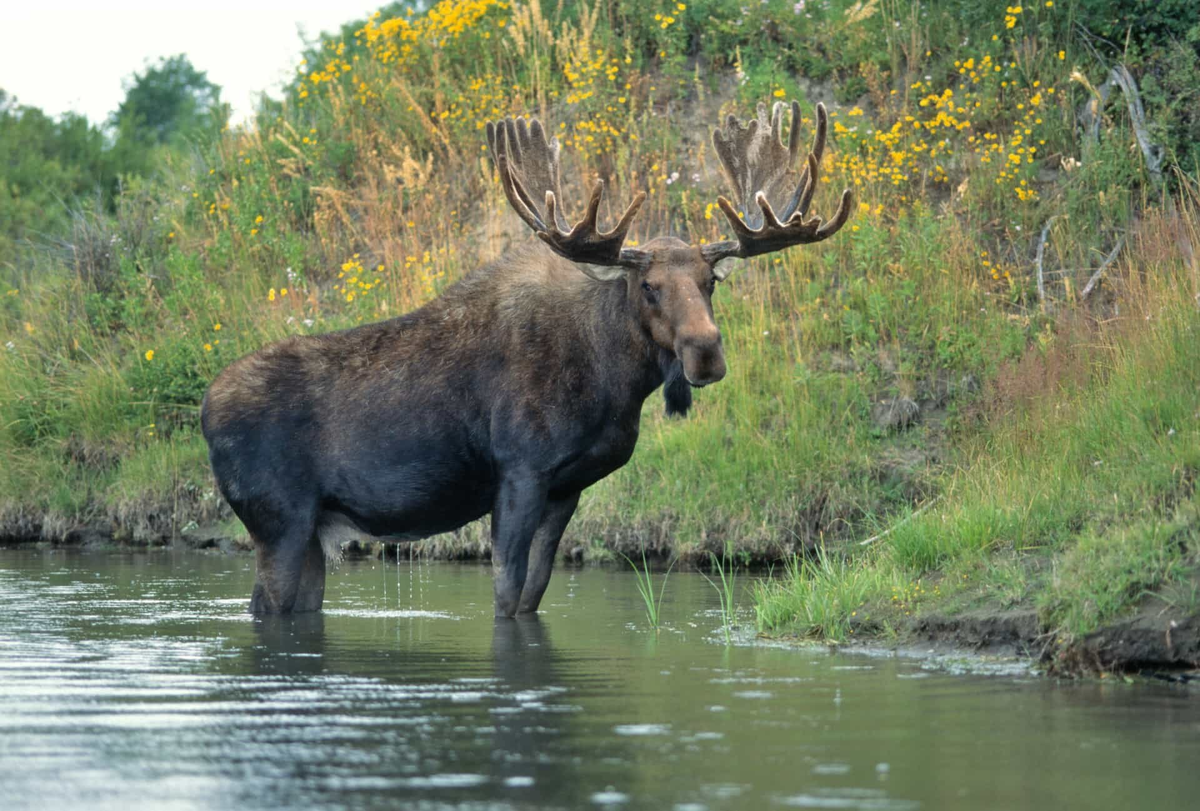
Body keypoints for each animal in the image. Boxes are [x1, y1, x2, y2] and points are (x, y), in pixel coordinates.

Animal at [199, 104, 854, 619]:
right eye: (648, 287)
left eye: (710, 280)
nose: (706, 351)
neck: (612, 386)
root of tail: (203, 411)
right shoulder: (520, 471)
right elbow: (506, 593)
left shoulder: (568, 487)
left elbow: (533, 593)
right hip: (279, 521)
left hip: (309, 530)